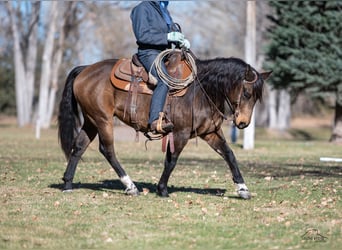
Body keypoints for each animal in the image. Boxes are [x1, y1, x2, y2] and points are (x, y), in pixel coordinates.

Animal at [58, 54, 272, 199]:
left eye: (256, 97)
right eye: (246, 93)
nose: (243, 123)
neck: (200, 91)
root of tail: (85, 69)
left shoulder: (211, 133)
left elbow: (229, 155)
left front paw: (243, 189)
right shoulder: (180, 133)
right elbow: (171, 160)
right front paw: (162, 189)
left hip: (91, 120)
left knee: (78, 147)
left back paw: (68, 183)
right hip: (103, 120)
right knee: (107, 150)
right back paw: (130, 186)